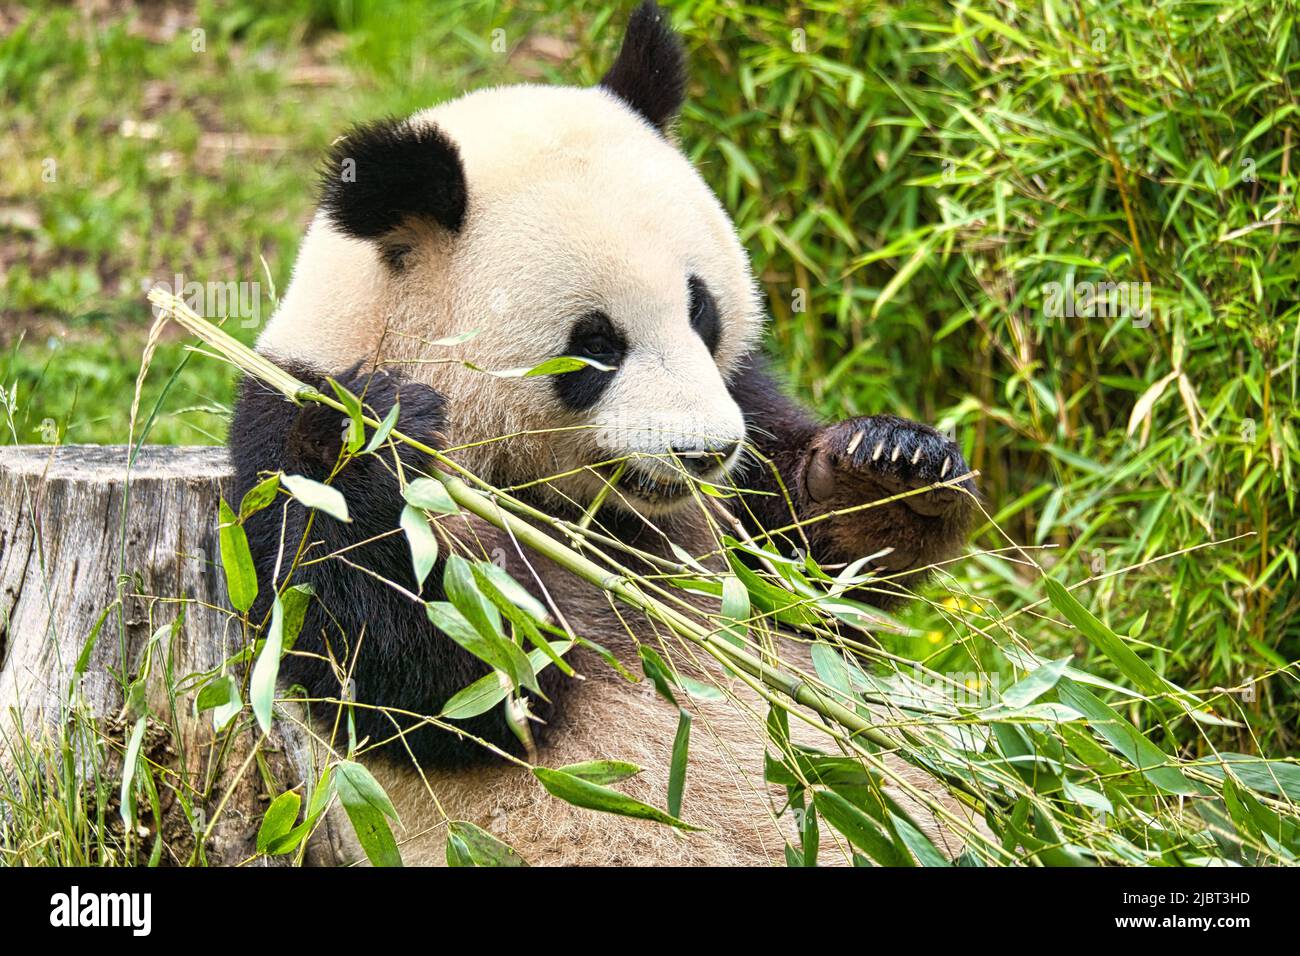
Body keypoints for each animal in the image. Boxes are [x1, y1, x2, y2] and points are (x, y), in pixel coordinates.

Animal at [228, 1, 977, 868]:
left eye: (700, 308)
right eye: (595, 344)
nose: (704, 453)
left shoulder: (738, 434)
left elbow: (813, 574)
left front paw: (892, 466)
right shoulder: (283, 432)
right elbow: (437, 671)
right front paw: (381, 436)